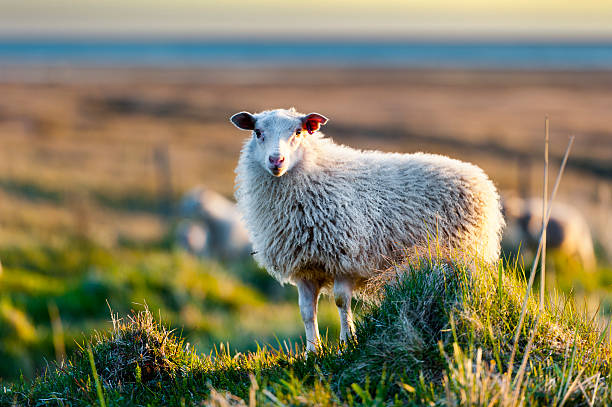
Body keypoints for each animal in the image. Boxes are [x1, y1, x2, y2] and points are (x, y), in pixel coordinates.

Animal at [230, 109, 502, 354]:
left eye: (298, 132)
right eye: (257, 132)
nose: (276, 161)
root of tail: (479, 176)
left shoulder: (345, 257)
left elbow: (341, 302)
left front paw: (346, 344)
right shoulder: (304, 267)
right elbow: (307, 312)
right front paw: (311, 352)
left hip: (465, 252)